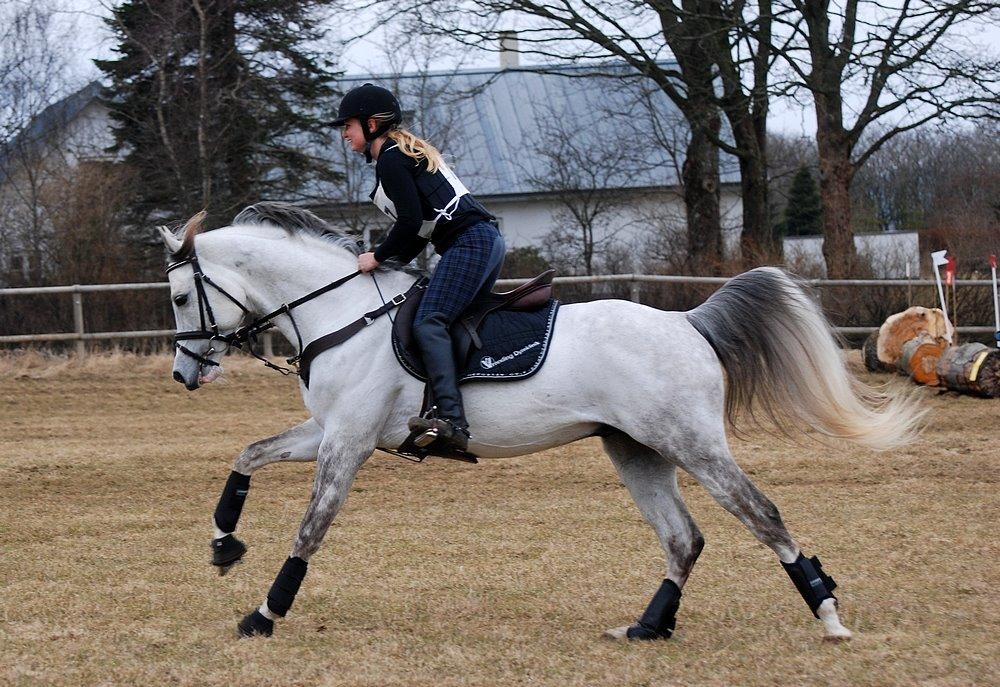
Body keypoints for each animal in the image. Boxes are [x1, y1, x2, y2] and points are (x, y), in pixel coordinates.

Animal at [158, 202, 920, 644]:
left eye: (178, 297)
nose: (184, 376)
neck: (341, 312)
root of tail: (686, 322)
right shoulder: (332, 431)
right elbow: (249, 454)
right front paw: (224, 543)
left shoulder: (347, 443)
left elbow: (310, 530)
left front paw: (265, 613)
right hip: (635, 449)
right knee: (684, 537)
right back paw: (648, 625)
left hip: (691, 443)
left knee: (762, 514)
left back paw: (828, 612)